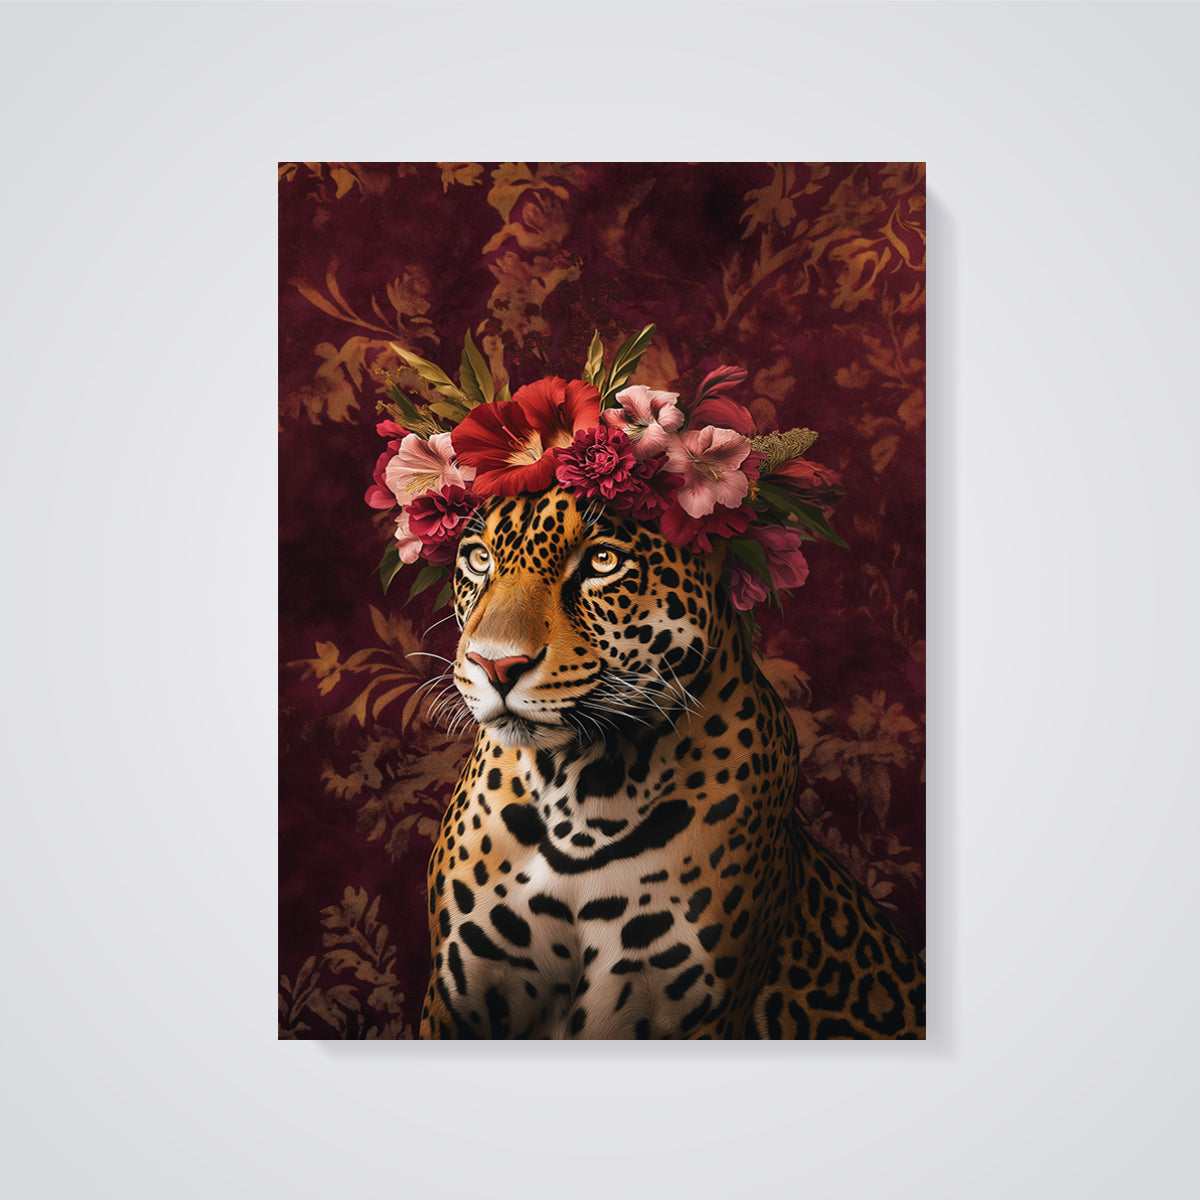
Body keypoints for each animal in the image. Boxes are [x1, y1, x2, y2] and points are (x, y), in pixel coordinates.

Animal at [418, 487, 925, 1039]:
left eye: (602, 561)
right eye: (479, 559)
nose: (494, 665)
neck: (581, 795)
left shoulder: (700, 1016)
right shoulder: (455, 999)